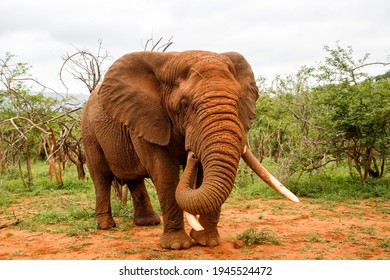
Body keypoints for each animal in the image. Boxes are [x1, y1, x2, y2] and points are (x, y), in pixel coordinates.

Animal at [80, 50, 298, 249]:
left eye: (237, 101)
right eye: (184, 105)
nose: (191, 154)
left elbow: (202, 176)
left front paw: (207, 242)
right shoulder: (149, 119)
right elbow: (165, 173)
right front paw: (176, 245)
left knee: (134, 179)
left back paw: (148, 222)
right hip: (88, 131)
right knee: (101, 176)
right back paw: (105, 226)